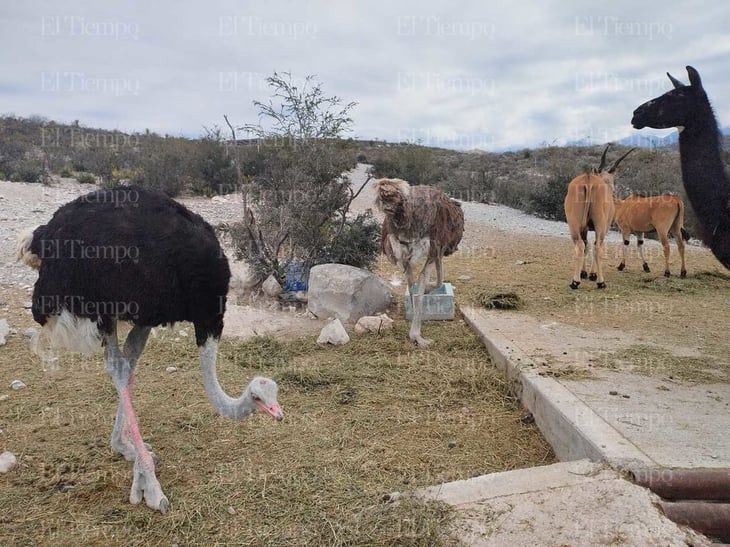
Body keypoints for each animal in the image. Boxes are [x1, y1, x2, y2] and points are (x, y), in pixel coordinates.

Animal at [564, 146, 632, 292]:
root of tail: (588, 179)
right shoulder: (603, 228)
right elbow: (594, 245)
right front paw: (592, 274)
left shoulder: (584, 228)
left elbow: (586, 245)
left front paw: (584, 273)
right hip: (600, 226)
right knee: (597, 247)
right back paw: (599, 282)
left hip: (574, 225)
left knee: (581, 245)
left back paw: (576, 281)